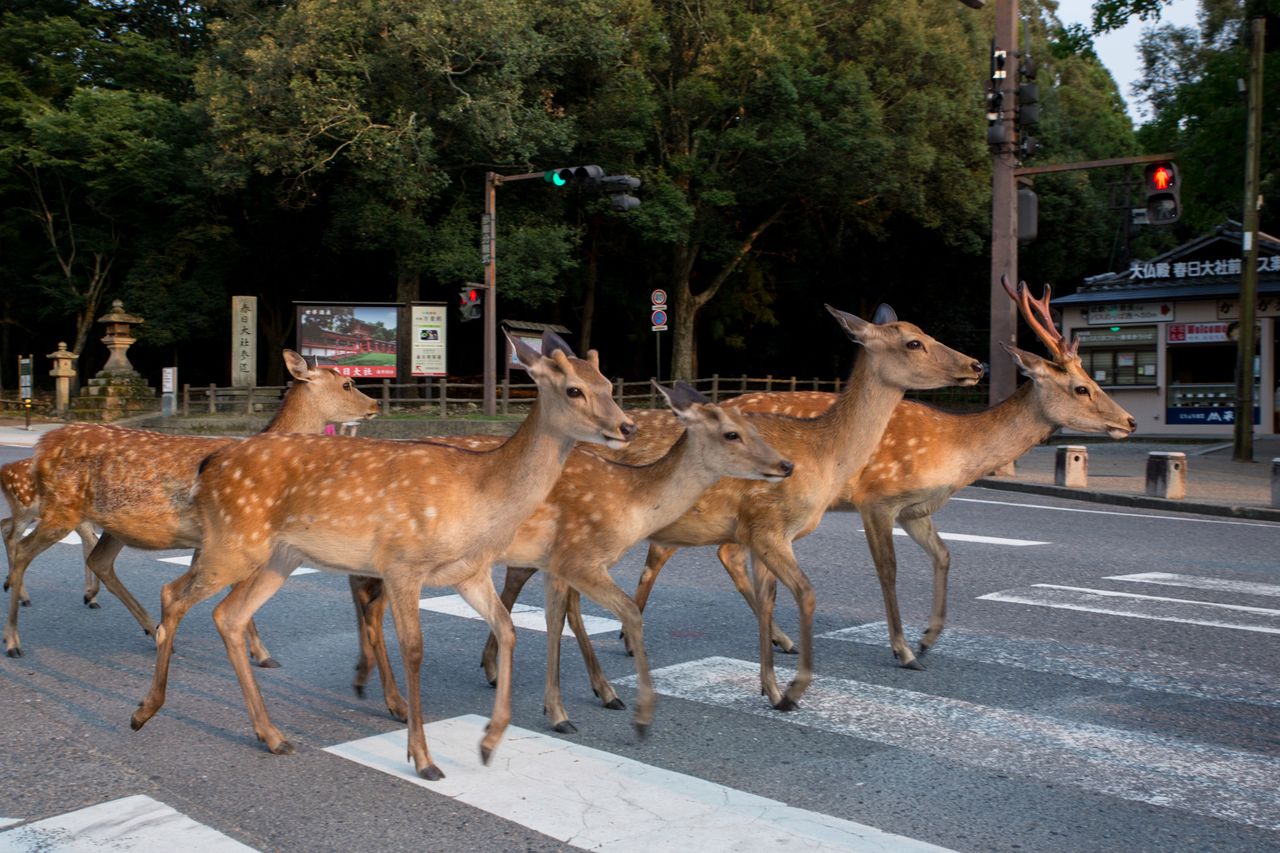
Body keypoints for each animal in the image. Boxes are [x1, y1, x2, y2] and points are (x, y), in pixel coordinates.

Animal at [3, 348, 378, 653]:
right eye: (347, 384)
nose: (374, 405)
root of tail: (41, 446)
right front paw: (260, 651)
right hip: (60, 508)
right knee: (23, 548)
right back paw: (13, 637)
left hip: (109, 523)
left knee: (98, 560)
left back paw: (146, 626)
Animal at [127, 330, 637, 778]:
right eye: (574, 390)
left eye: (608, 385)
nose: (627, 426)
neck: (479, 496)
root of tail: (210, 463)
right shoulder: (403, 563)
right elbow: (414, 648)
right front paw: (423, 757)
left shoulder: (469, 572)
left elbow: (509, 630)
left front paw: (490, 742)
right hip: (233, 544)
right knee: (175, 594)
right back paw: (144, 710)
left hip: (278, 558)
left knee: (228, 615)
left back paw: (271, 735)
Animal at [345, 379, 793, 732]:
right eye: (732, 433)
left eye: (756, 426)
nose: (786, 464)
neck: (630, 499)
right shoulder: (570, 555)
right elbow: (578, 616)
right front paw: (570, 711)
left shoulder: (557, 562)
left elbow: (557, 617)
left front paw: (586, 698)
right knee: (373, 599)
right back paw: (392, 699)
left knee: (367, 594)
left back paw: (369, 681)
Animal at [601, 275, 1141, 676]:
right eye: (1081, 388)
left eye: (1093, 380)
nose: (1129, 421)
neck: (955, 454)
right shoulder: (877, 498)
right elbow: (889, 570)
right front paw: (903, 649)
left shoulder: (918, 508)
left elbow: (945, 555)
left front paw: (930, 637)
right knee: (666, 547)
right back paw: (631, 636)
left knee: (723, 553)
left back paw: (778, 639)